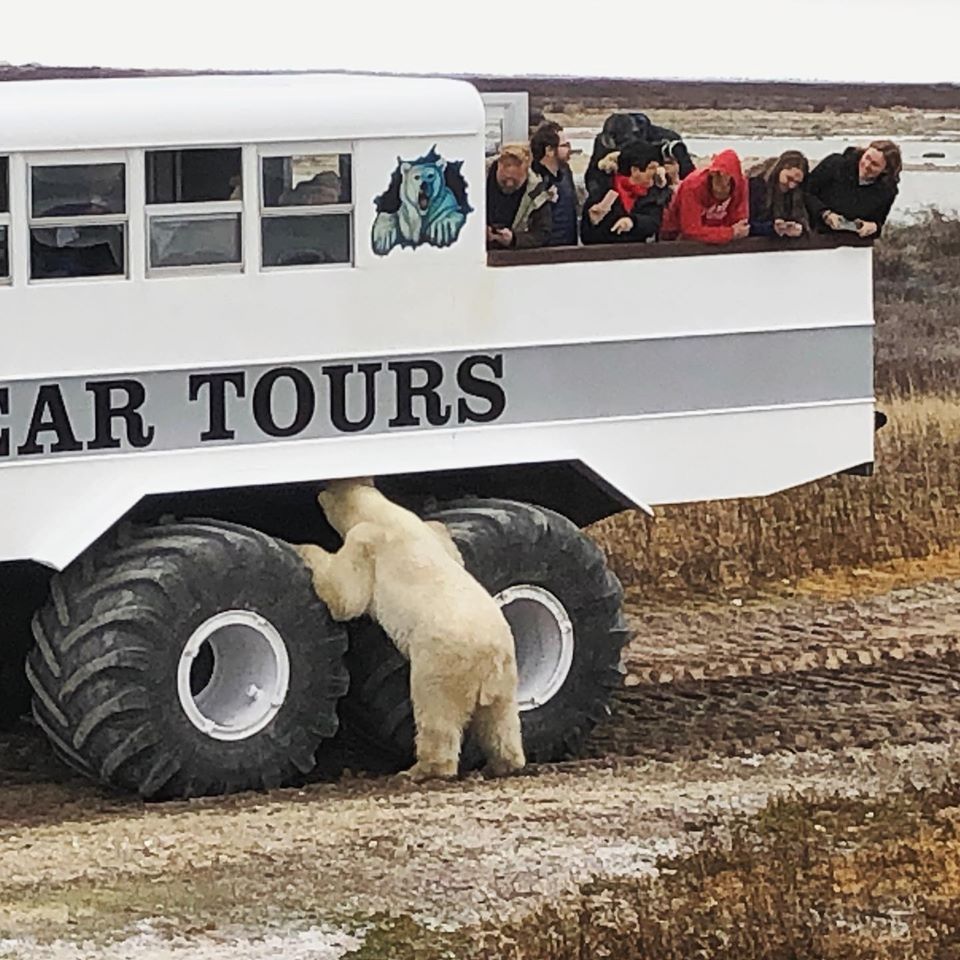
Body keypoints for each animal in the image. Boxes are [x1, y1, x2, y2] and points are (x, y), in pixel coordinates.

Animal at [298, 476, 524, 784]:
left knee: (435, 714)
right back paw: (503, 764)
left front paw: (302, 548)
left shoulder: (368, 541)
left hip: (442, 664)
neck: (385, 514)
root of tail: (492, 659)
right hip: (506, 676)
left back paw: (420, 770)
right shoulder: (428, 533)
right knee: (502, 720)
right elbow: (448, 543)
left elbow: (346, 597)